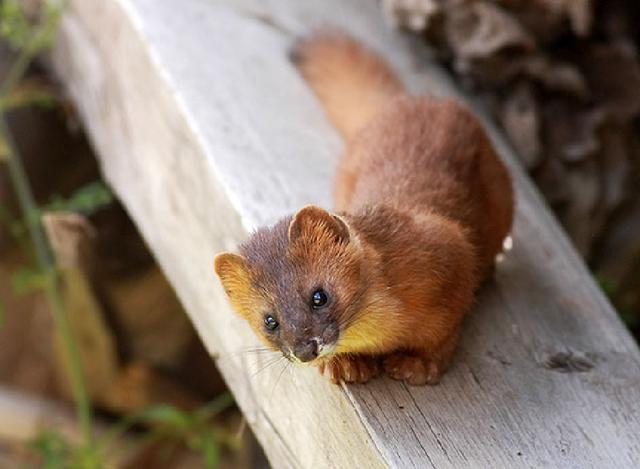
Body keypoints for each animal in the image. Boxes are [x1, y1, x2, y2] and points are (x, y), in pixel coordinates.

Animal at [215, 32, 516, 384]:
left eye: (319, 295)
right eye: (269, 320)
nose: (305, 350)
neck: (383, 331)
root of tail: (404, 102)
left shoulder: (452, 251)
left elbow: (443, 332)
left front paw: (417, 364)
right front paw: (347, 364)